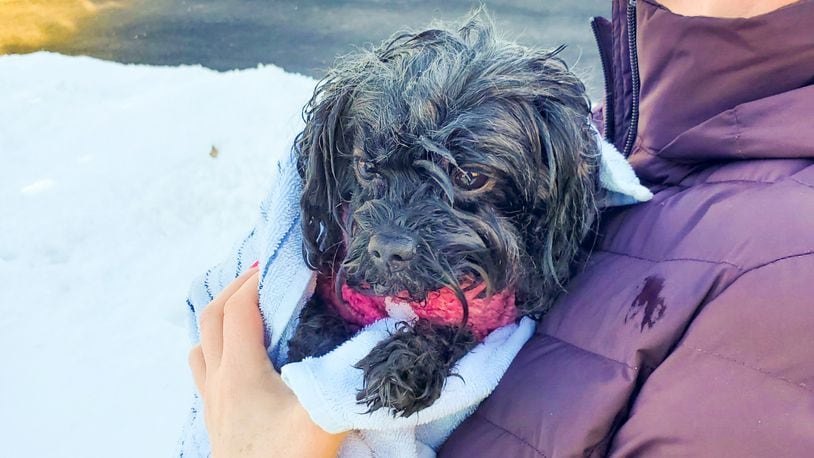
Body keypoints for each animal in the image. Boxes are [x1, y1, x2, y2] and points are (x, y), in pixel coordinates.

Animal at [286, 10, 600, 418]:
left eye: (469, 176)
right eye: (366, 167)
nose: (388, 249)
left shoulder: (486, 314)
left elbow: (455, 328)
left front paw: (405, 361)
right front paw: (314, 344)